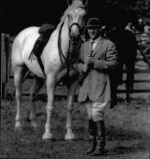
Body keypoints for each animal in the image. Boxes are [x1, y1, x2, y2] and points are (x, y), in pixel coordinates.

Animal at [11, 0, 86, 139]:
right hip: (19, 71)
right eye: (69, 15)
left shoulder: (73, 82)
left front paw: (69, 134)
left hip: (38, 77)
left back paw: (34, 124)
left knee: (33, 94)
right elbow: (50, 106)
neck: (66, 52)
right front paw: (47, 133)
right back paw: (18, 125)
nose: (74, 36)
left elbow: (70, 107)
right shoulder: (51, 81)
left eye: (84, 15)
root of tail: (22, 33)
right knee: (18, 96)